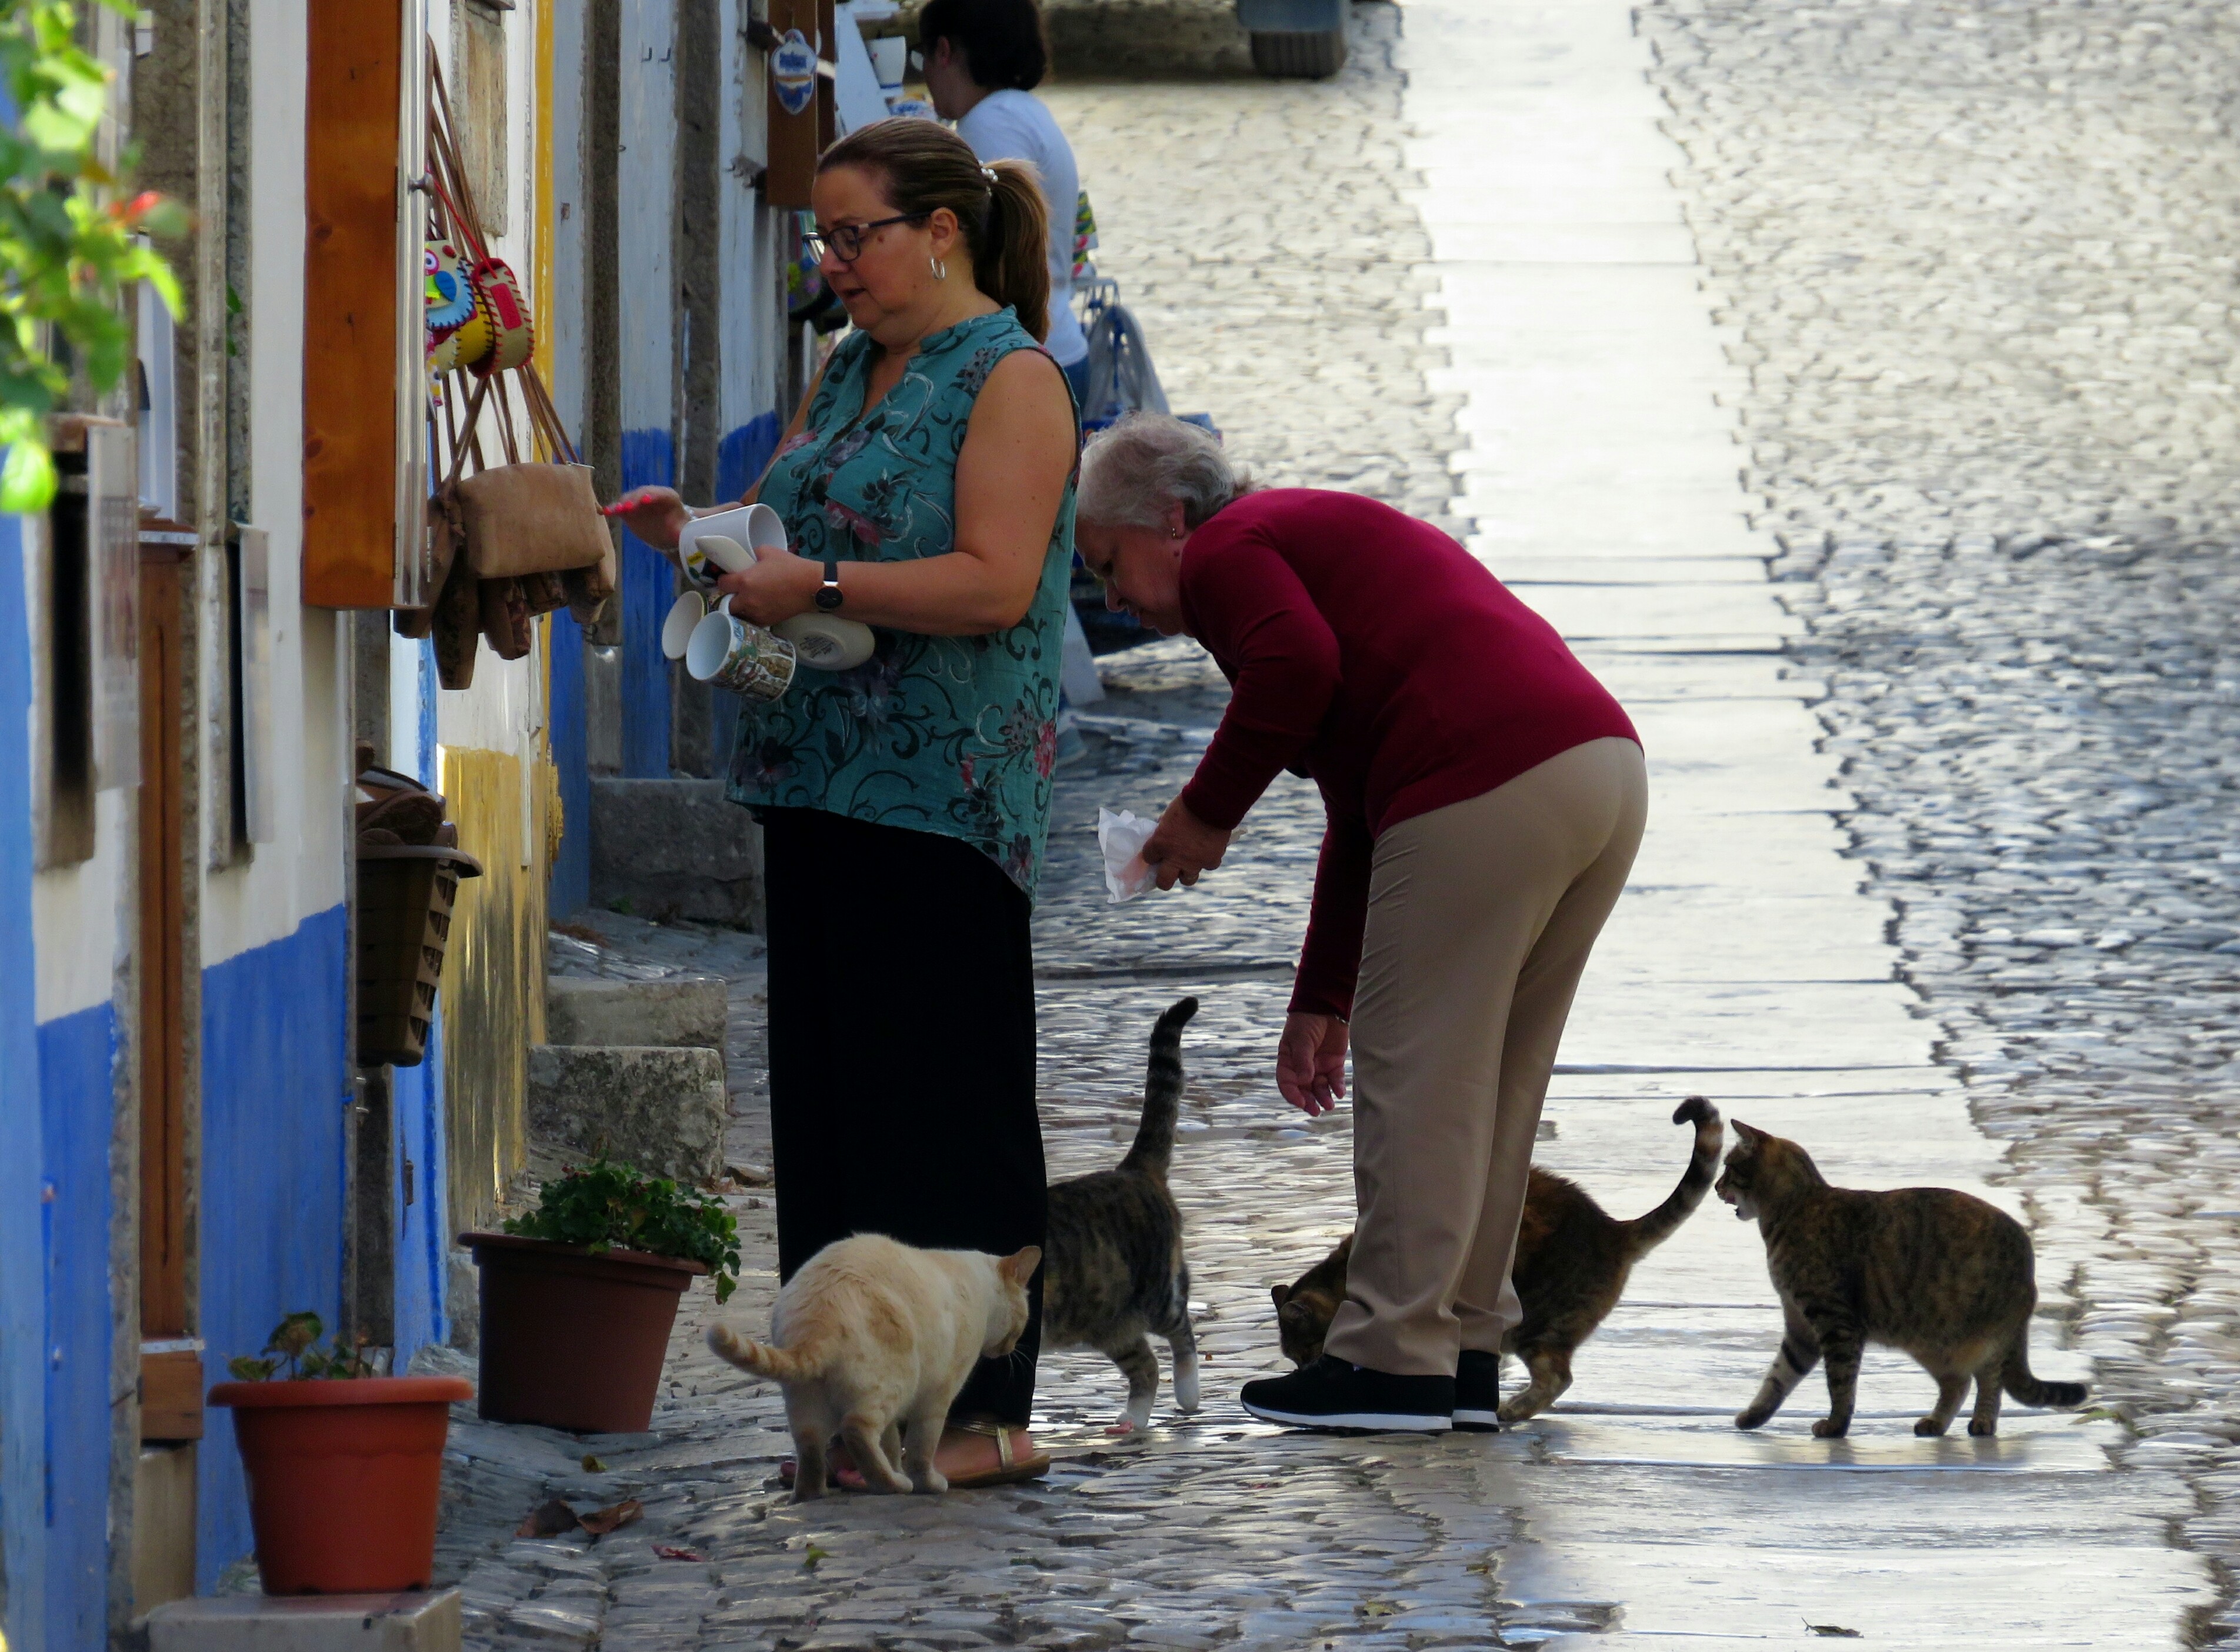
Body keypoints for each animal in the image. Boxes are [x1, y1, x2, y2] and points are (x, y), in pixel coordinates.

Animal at [708, 1228, 1039, 1497]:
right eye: (1023, 1322)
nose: (1011, 1348)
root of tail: (816, 1319)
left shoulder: (902, 1415)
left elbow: (891, 1446)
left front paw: (900, 1470)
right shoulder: (937, 1396)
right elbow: (921, 1450)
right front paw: (927, 1484)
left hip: (807, 1404)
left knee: (810, 1447)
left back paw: (811, 1495)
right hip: (894, 1384)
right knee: (856, 1430)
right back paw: (891, 1485)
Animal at [1039, 991, 1201, 1434]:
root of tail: (1131, 1170)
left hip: (1155, 1294)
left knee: (1181, 1333)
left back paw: (1187, 1392)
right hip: (1109, 1322)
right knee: (1145, 1364)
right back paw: (1135, 1418)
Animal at [1272, 1094, 1720, 1416]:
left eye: (1306, 1353)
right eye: (1294, 1358)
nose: (1302, 1371)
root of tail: (1612, 1229)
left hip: (1538, 1323)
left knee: (1558, 1378)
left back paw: (1511, 1410)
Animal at [1720, 1116, 2088, 1434]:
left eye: (1728, 1167)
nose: (1717, 1186)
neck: (1793, 1208)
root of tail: (2027, 1254)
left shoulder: (1835, 1322)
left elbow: (1840, 1383)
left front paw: (1836, 1427)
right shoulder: (1801, 1326)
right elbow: (1778, 1377)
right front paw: (1754, 1415)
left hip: (1977, 1334)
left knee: (1989, 1379)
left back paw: (1983, 1422)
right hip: (1934, 1343)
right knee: (1960, 1382)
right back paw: (1936, 1423)